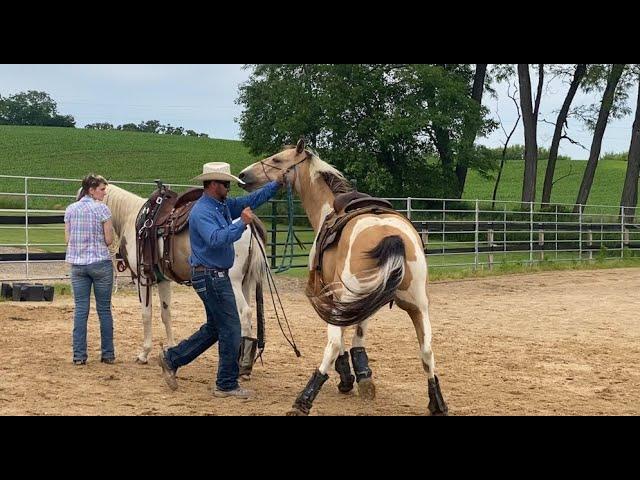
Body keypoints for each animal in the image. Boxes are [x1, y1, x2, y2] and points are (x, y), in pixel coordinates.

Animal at [238, 139, 448, 416]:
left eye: (277, 160)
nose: (243, 175)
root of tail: (391, 235)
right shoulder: (365, 301)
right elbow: (359, 333)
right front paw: (365, 377)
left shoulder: (332, 295)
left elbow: (341, 340)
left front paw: (348, 378)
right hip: (418, 306)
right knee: (427, 350)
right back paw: (437, 403)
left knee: (334, 344)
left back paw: (303, 400)